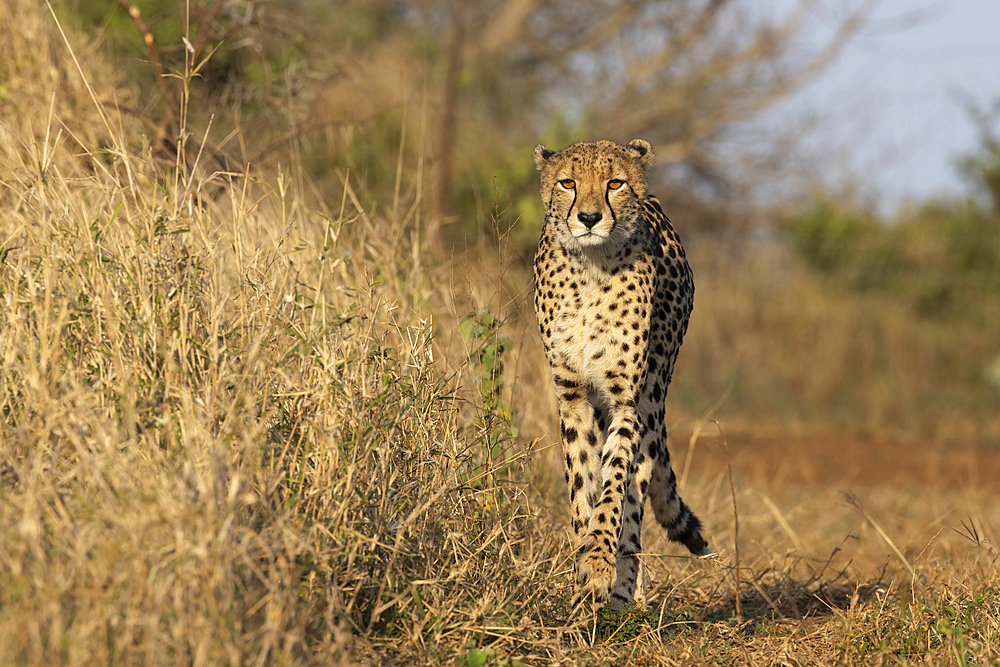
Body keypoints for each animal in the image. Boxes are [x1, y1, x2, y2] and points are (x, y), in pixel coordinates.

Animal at [532, 138, 712, 608]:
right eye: (568, 183)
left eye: (615, 183)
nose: (589, 218)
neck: (591, 268)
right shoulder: (573, 399)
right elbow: (583, 485)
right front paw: (583, 571)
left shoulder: (626, 403)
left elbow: (615, 487)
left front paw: (599, 564)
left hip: (652, 398)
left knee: (636, 496)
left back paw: (627, 590)